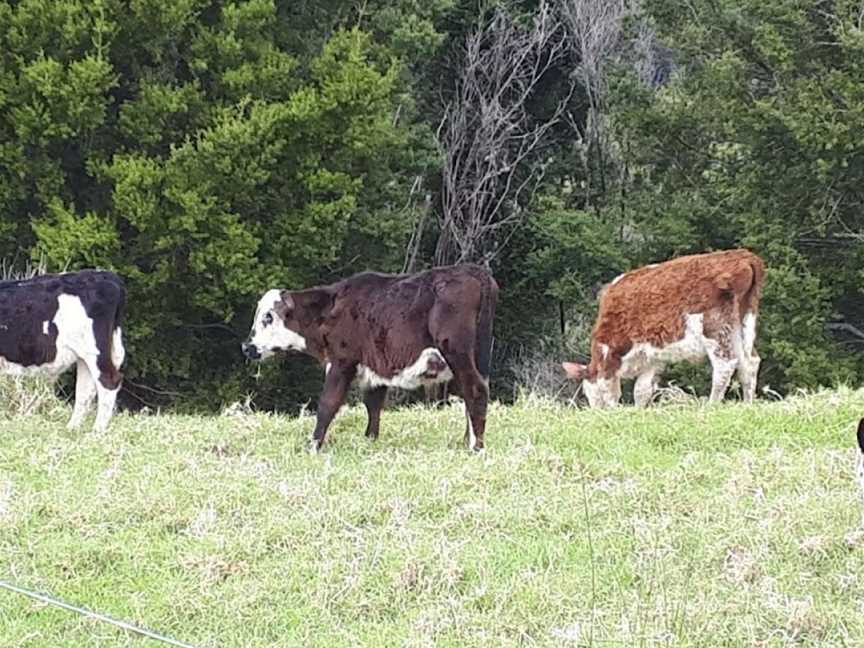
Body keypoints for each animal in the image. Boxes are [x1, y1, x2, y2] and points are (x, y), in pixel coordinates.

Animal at [0, 270, 126, 432]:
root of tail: (104, 275)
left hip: (95, 350)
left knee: (108, 381)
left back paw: (96, 431)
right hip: (84, 354)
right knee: (85, 388)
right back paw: (72, 428)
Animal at [243, 264, 500, 450]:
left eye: (268, 317)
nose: (247, 347)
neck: (333, 309)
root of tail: (474, 272)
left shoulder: (342, 362)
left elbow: (327, 403)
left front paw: (313, 445)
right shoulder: (375, 368)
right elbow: (373, 405)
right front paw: (370, 440)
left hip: (457, 353)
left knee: (476, 390)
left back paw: (476, 446)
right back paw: (467, 441)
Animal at [564, 249, 768, 408]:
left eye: (587, 393)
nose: (596, 412)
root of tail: (743, 256)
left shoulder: (609, 353)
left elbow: (609, 387)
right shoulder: (651, 357)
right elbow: (641, 389)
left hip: (714, 328)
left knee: (725, 364)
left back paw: (711, 405)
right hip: (740, 323)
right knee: (749, 362)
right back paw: (747, 404)